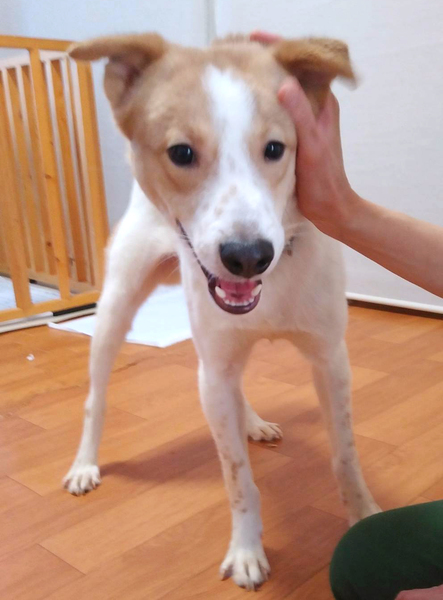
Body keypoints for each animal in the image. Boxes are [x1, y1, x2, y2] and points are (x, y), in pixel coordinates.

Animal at [64, 33, 380, 590]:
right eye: (181, 153)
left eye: (275, 149)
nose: (249, 255)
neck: (269, 285)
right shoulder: (213, 368)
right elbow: (237, 477)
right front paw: (247, 549)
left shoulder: (330, 359)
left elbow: (345, 455)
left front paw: (362, 517)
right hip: (116, 309)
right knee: (95, 398)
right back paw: (85, 463)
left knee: (233, 391)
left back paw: (251, 421)